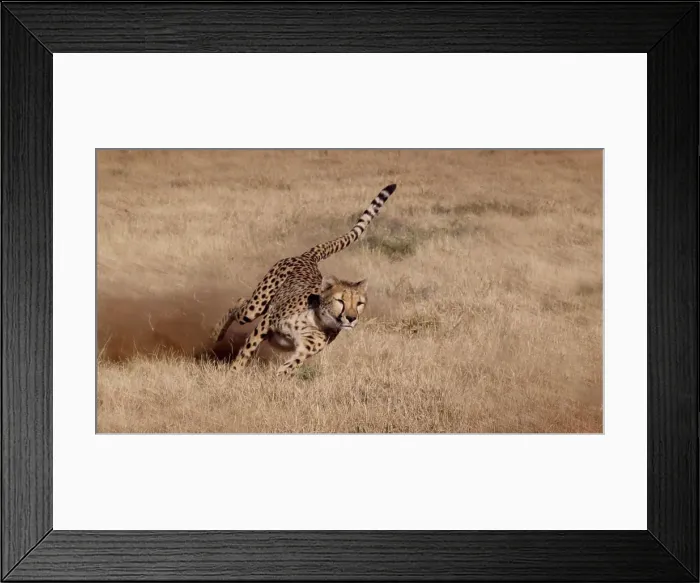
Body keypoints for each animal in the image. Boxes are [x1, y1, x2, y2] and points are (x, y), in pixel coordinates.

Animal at [210, 183, 397, 375]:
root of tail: (308, 258)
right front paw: (233, 372)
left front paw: (276, 378)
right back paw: (216, 334)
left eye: (359, 303)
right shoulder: (267, 322)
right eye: (340, 301)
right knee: (239, 304)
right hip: (256, 306)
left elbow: (290, 366)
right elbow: (247, 349)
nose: (351, 318)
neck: (317, 320)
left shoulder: (305, 349)